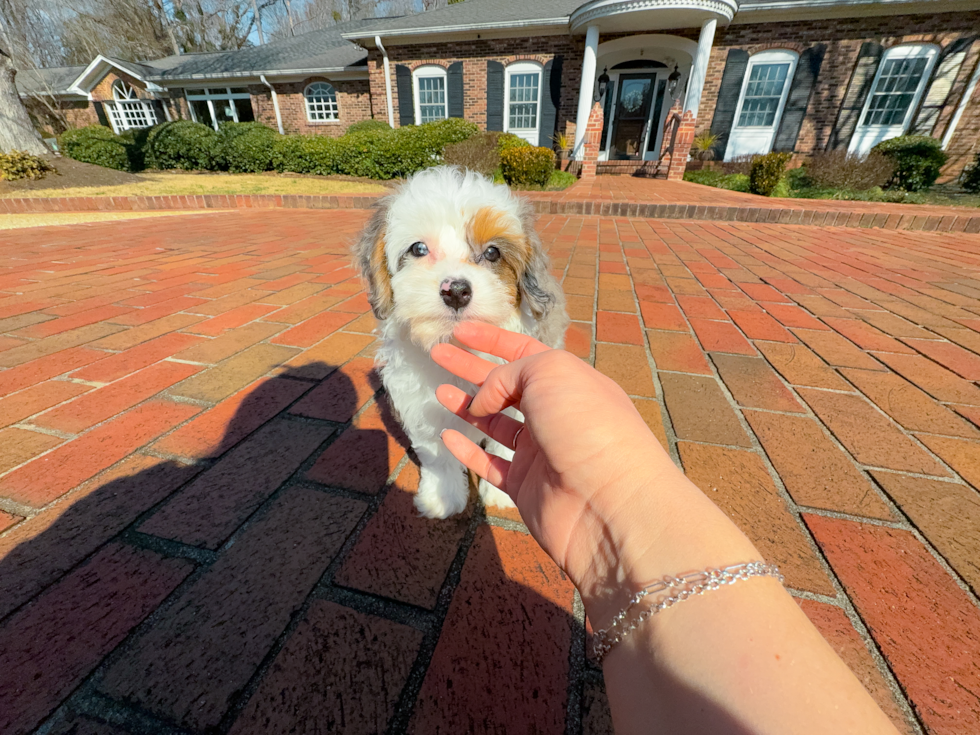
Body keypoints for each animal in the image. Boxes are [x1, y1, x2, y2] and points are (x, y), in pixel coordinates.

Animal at [352, 164, 568, 520]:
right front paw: (442, 497)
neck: (458, 347)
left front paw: (500, 493)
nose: (455, 290)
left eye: (493, 252)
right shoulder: (421, 405)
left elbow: (505, 447)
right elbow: (438, 455)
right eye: (418, 249)